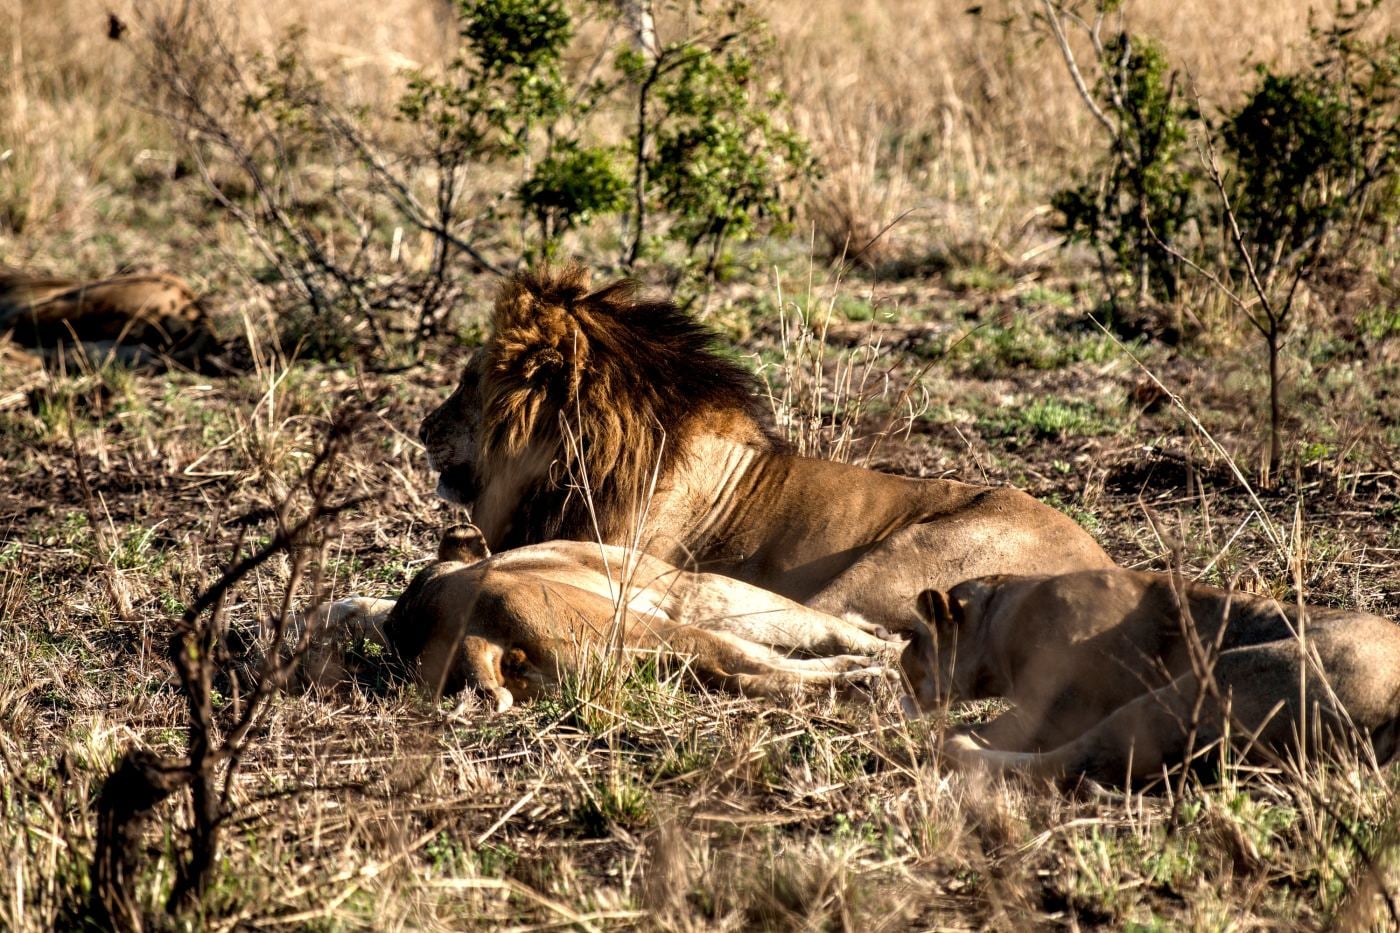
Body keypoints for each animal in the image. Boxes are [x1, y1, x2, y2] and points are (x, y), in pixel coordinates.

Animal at [300, 526, 899, 710]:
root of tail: (469, 636)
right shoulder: (687, 588)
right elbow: (811, 621)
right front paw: (882, 642)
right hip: (643, 628)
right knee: (752, 665)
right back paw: (872, 676)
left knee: (747, 677)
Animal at [897, 569, 1400, 787]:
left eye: (915, 637)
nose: (901, 666)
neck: (1002, 612)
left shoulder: (1056, 710)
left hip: (1198, 689)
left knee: (1071, 762)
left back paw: (953, 747)